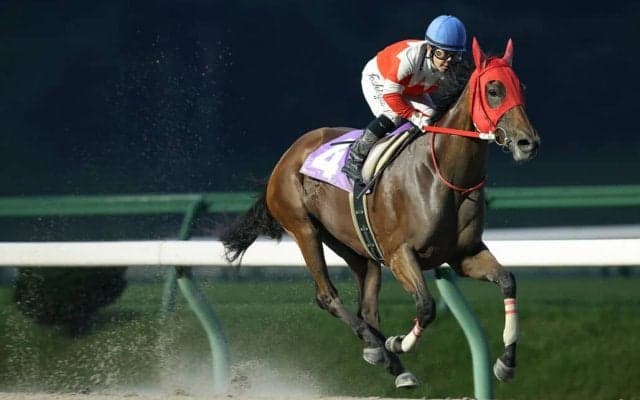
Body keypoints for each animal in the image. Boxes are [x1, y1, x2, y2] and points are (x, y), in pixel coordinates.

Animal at [221, 37, 540, 389]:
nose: (528, 143)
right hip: (303, 228)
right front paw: (397, 342)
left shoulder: (464, 255)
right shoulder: (400, 254)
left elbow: (508, 281)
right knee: (327, 296)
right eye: (494, 90)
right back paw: (376, 346)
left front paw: (506, 363)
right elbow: (426, 306)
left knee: (367, 307)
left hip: (356, 248)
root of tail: (288, 155)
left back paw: (393, 365)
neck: (442, 174)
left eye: (521, 87)